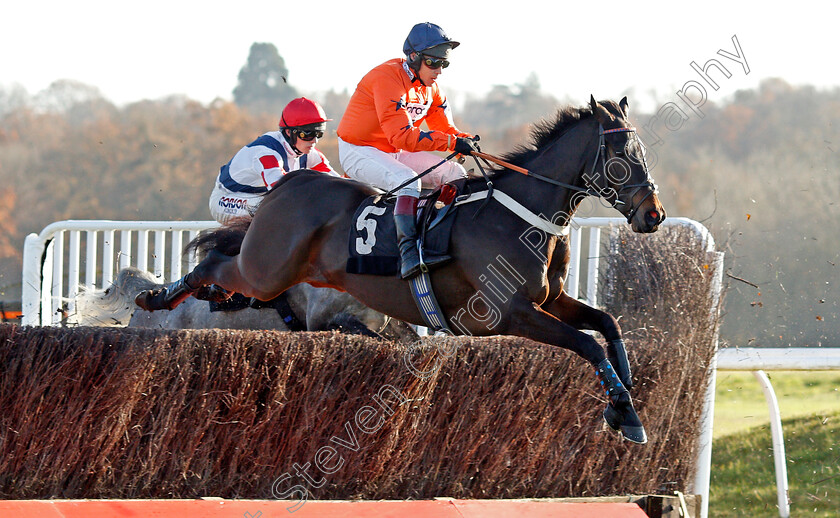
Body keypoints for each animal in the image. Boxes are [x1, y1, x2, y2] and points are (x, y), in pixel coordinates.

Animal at [136, 98, 664, 446]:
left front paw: (624, 400)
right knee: (215, 262)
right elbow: (587, 344)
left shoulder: (550, 301)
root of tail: (291, 180)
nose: (652, 214)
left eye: (640, 151)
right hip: (266, 270)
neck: (519, 216)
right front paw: (625, 412)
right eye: (622, 156)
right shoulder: (510, 314)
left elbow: (608, 325)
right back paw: (157, 297)